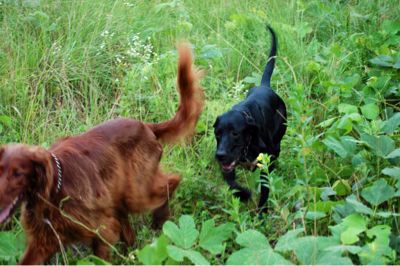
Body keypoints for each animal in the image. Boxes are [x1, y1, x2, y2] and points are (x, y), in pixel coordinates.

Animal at [0, 43, 203, 264]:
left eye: (18, 174)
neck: (53, 192)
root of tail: (147, 127)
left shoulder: (102, 228)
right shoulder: (42, 241)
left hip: (136, 192)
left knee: (172, 181)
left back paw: (160, 220)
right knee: (130, 230)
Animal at [214, 26, 286, 213]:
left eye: (235, 133)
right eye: (217, 133)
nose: (220, 155)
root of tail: (264, 86)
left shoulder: (267, 158)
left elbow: (265, 188)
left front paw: (261, 213)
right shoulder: (228, 165)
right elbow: (231, 183)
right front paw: (243, 194)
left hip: (278, 141)